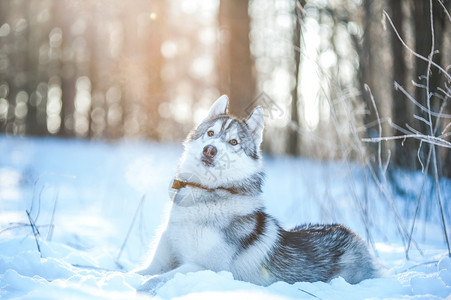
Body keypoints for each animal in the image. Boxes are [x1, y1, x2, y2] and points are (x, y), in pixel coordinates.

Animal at [136, 96, 380, 292]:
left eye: (234, 142)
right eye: (210, 133)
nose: (210, 149)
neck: (204, 194)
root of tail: (354, 236)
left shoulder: (205, 268)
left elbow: (156, 279)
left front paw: (140, 288)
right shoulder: (160, 261)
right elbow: (141, 272)